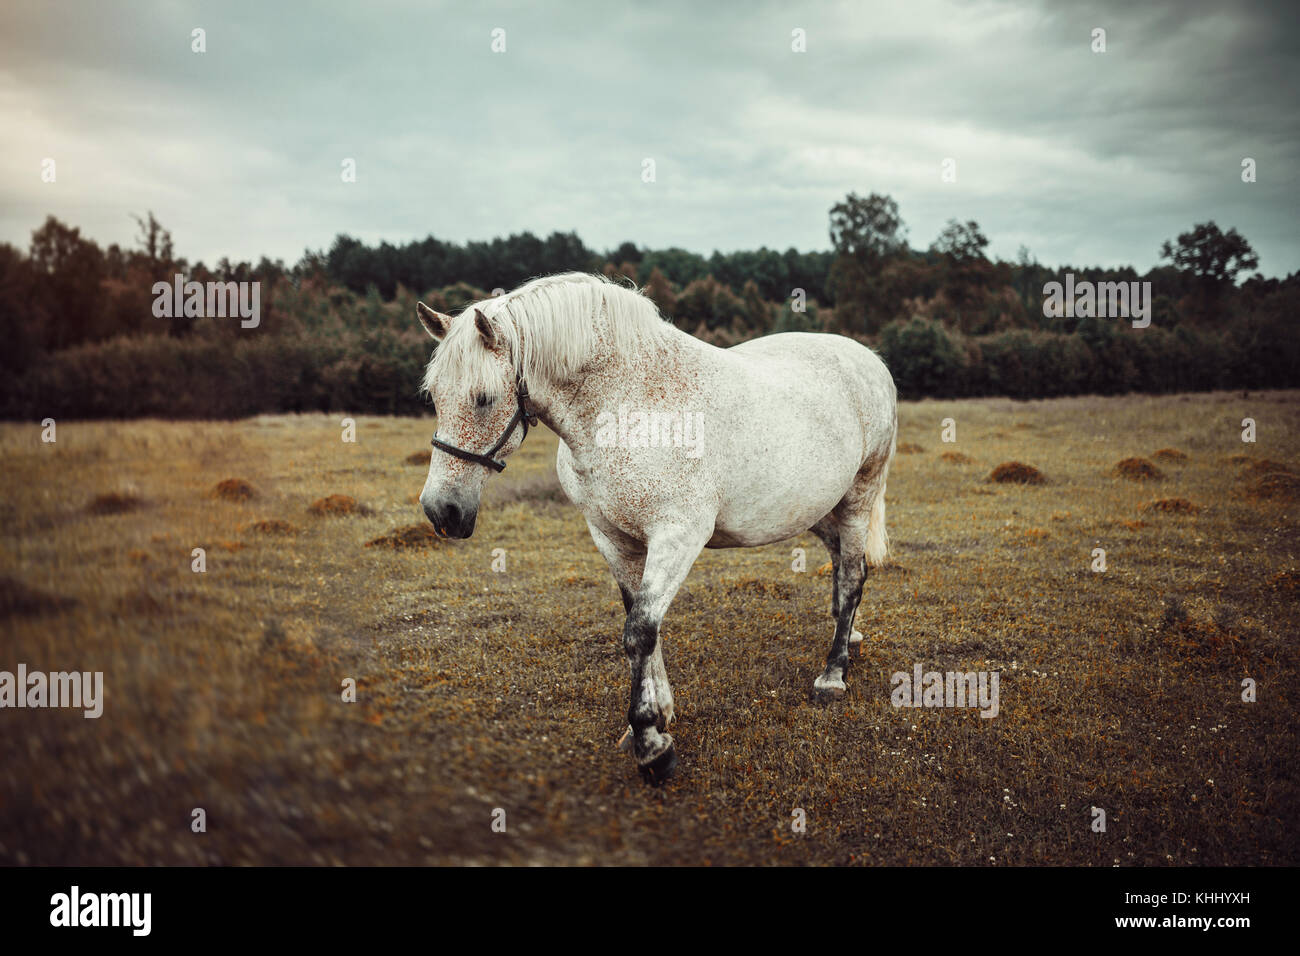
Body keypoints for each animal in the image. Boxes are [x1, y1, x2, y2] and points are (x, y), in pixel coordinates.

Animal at [416, 273, 894, 780]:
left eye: (483, 399)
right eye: (434, 397)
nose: (441, 510)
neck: (630, 407)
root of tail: (868, 359)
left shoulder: (677, 536)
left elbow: (641, 630)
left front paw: (651, 743)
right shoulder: (613, 538)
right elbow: (643, 625)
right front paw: (657, 717)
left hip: (859, 497)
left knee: (853, 576)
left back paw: (833, 675)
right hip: (820, 510)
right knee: (842, 564)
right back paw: (850, 636)